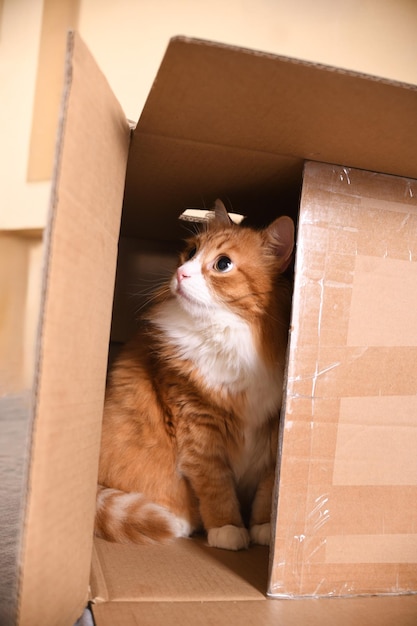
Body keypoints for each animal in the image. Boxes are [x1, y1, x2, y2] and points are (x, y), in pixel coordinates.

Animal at [96, 197, 294, 548]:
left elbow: (269, 489)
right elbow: (217, 489)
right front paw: (228, 530)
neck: (226, 335)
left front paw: (265, 528)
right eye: (190, 252)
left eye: (223, 264)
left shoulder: (273, 436)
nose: (180, 272)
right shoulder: (199, 428)